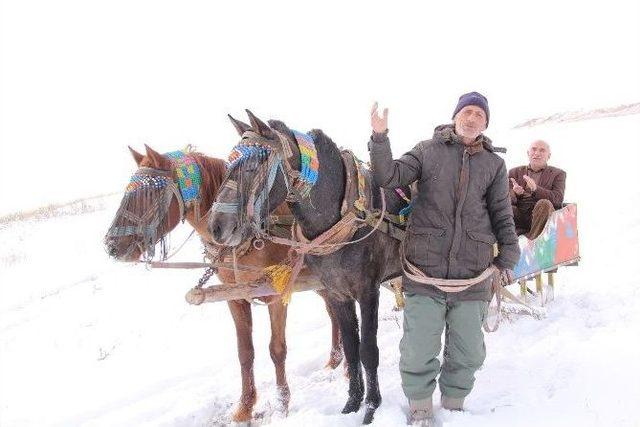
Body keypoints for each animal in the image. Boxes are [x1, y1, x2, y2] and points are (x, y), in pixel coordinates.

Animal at [104, 145, 342, 422]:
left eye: (150, 193)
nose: (111, 246)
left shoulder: (275, 294)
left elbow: (277, 349)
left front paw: (282, 404)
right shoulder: (234, 297)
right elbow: (245, 353)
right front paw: (245, 408)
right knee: (334, 310)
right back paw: (336, 360)